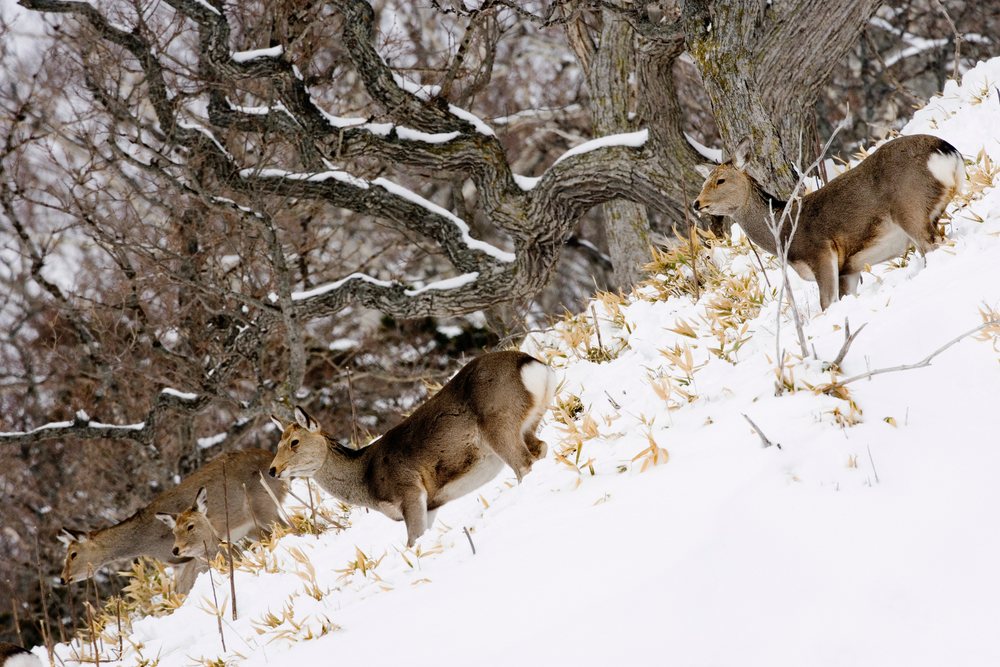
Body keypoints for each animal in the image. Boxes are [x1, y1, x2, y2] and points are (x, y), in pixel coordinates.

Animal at [59, 449, 287, 594]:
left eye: (73, 554)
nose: (62, 578)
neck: (146, 542)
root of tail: (271, 457)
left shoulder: (190, 558)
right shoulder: (179, 564)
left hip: (265, 507)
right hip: (252, 527)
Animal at [268, 350, 556, 547]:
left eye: (294, 442)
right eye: (278, 443)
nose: (273, 470)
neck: (367, 481)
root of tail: (533, 365)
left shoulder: (409, 490)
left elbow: (412, 542)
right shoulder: (432, 504)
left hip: (498, 424)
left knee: (524, 464)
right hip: (529, 422)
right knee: (541, 449)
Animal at [692, 134, 965, 310]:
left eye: (720, 180)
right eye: (705, 182)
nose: (696, 203)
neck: (785, 232)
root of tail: (947, 151)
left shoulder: (821, 253)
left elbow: (827, 305)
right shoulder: (850, 269)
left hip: (909, 208)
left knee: (934, 245)